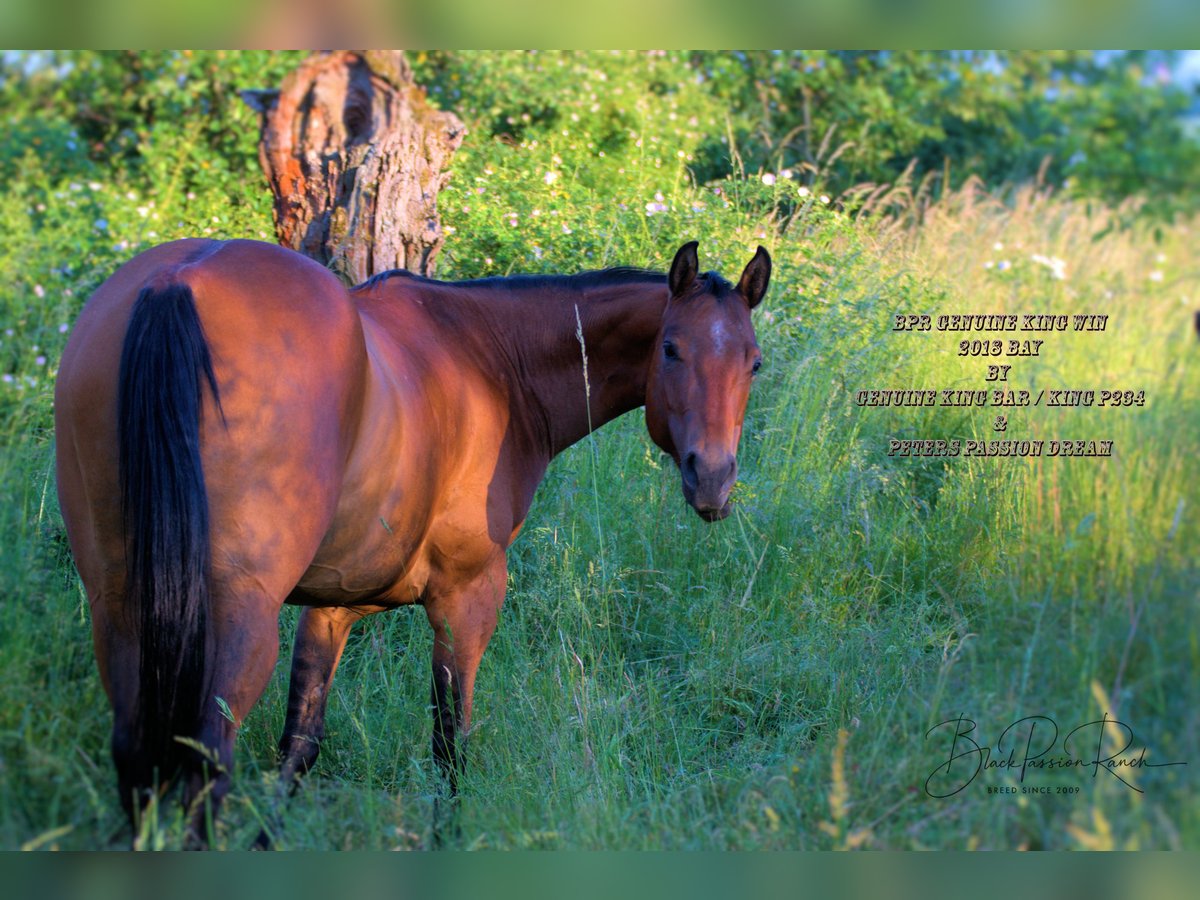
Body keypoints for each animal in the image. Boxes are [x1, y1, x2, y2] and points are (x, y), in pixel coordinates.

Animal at [54, 237, 768, 844]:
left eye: (754, 363)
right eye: (671, 348)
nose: (713, 478)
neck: (492, 359)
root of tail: (179, 280)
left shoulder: (332, 606)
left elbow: (300, 744)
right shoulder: (467, 596)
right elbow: (449, 745)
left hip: (119, 607)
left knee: (134, 753)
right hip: (240, 618)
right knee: (208, 765)